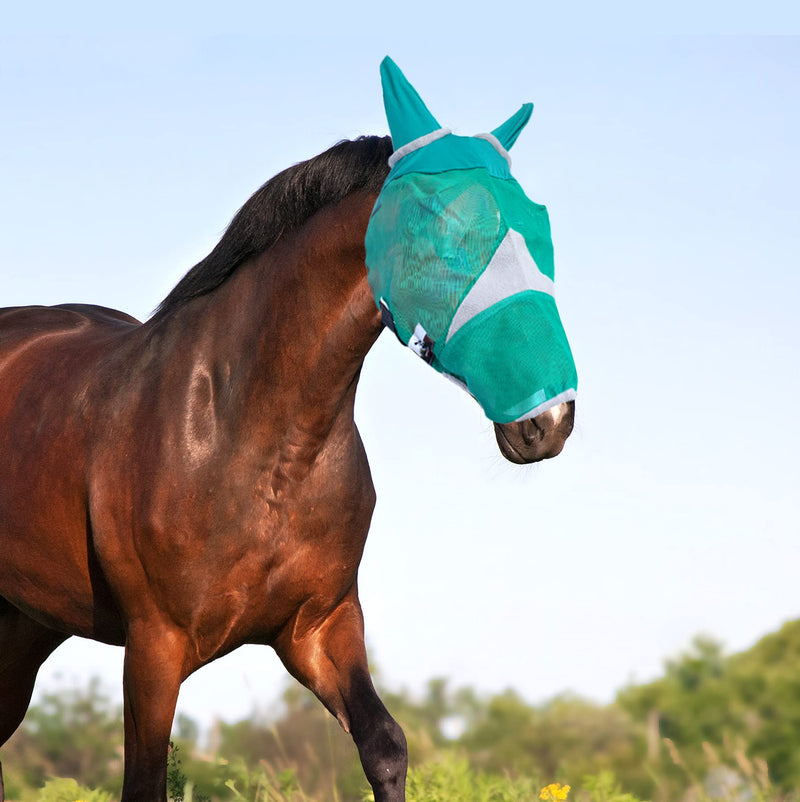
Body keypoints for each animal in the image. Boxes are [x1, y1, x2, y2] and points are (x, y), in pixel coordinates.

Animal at [0, 135, 575, 802]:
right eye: (454, 239)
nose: (552, 417)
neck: (252, 441)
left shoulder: (318, 629)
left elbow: (385, 746)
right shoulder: (154, 646)